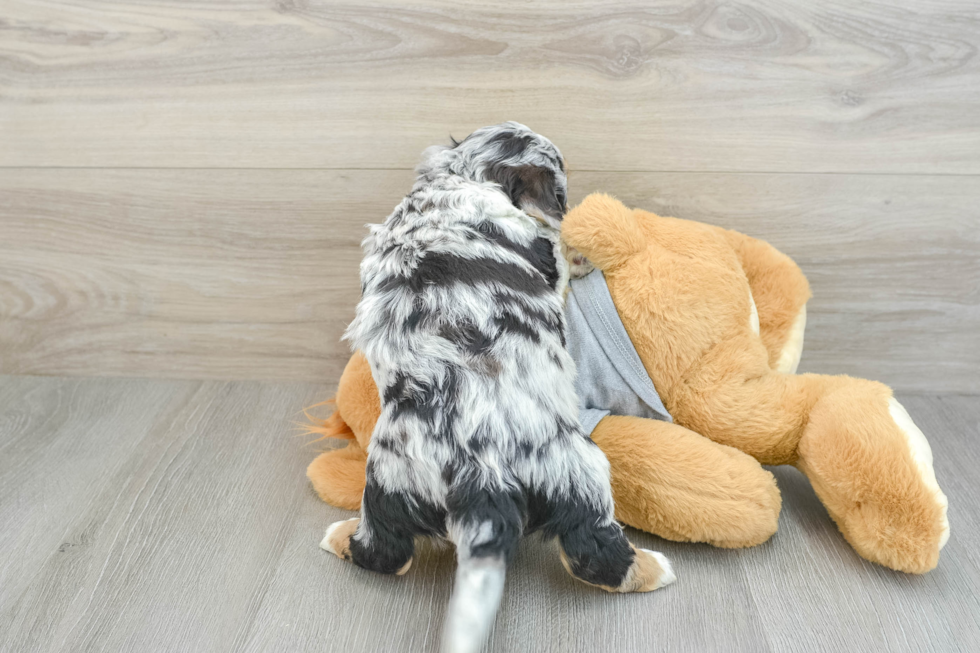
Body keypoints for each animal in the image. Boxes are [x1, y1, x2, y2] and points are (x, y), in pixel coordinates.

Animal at [322, 122, 672, 652]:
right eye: (561, 192)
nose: (570, 207)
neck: (458, 176)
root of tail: (479, 477)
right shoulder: (541, 253)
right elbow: (556, 250)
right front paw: (580, 250)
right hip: (580, 473)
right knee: (593, 554)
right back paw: (656, 569)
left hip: (387, 483)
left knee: (387, 553)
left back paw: (339, 536)